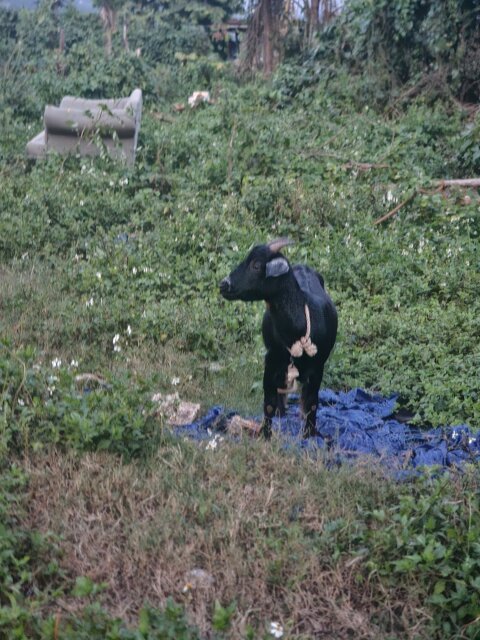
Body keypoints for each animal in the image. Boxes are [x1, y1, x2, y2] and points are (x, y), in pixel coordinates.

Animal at [219, 238, 337, 438]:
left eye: (256, 265)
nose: (224, 284)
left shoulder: (318, 366)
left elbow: (313, 403)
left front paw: (309, 435)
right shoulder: (271, 360)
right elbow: (268, 402)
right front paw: (265, 435)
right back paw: (280, 412)